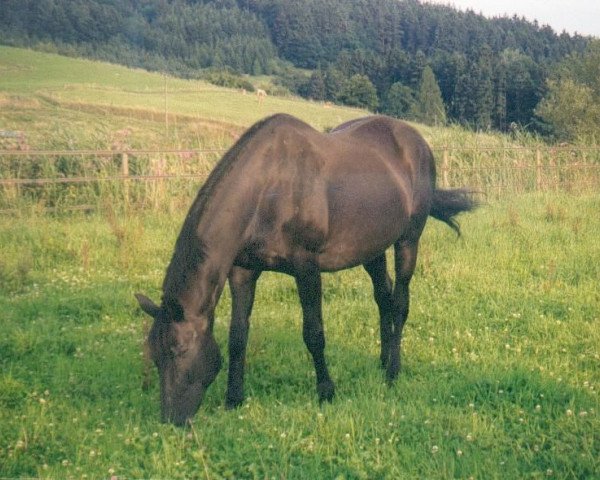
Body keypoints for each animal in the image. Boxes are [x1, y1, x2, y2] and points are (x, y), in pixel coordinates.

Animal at [136, 112, 478, 424]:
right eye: (154, 354)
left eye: (179, 350)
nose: (171, 421)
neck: (268, 188)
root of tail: (418, 141)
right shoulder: (243, 272)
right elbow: (237, 336)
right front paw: (234, 398)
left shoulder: (307, 269)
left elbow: (314, 333)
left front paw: (326, 392)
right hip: (372, 248)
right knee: (384, 297)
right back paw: (382, 361)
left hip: (408, 240)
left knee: (400, 303)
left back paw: (393, 372)